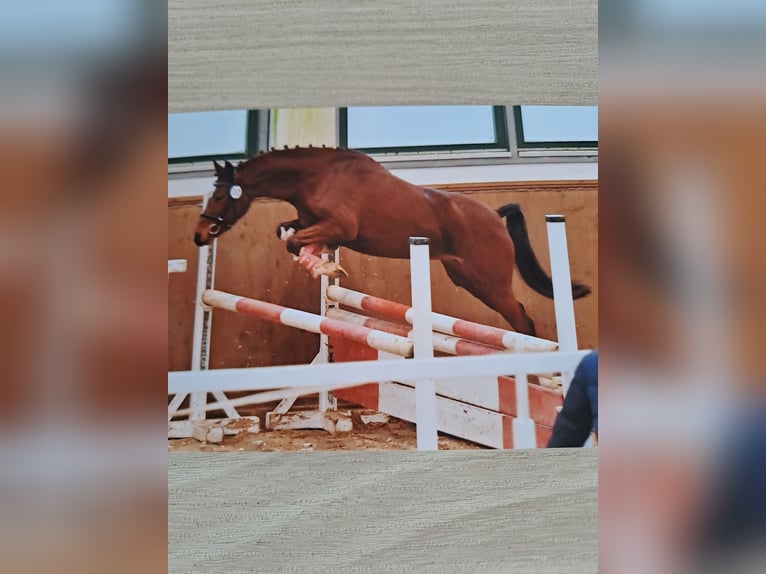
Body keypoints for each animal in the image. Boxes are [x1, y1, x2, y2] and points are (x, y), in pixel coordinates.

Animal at [195, 147, 592, 338]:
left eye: (220, 196)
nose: (199, 236)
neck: (317, 176)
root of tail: (495, 217)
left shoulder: (340, 226)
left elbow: (294, 242)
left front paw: (324, 265)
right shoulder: (316, 224)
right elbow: (288, 233)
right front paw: (321, 262)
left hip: (490, 284)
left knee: (523, 322)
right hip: (468, 279)